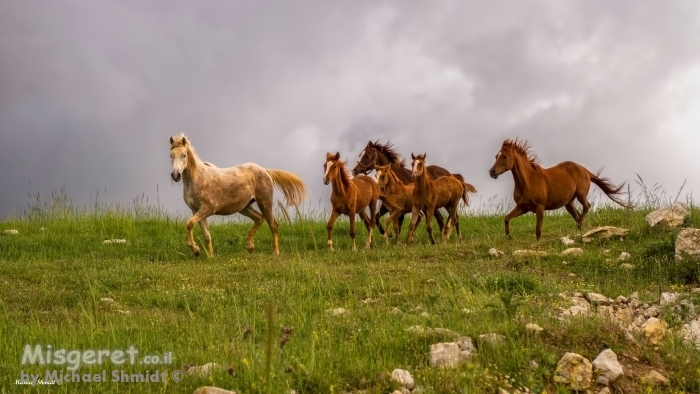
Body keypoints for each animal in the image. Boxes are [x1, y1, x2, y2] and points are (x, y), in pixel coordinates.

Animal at [170, 134, 306, 258]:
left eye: (184, 155)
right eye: (171, 155)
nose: (175, 175)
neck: (197, 179)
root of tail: (265, 170)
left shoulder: (207, 209)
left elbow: (189, 224)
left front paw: (196, 250)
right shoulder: (196, 210)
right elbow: (206, 234)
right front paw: (210, 256)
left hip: (265, 203)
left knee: (273, 225)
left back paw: (275, 252)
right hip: (244, 207)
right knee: (259, 218)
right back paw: (250, 246)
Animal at [490, 140, 632, 242]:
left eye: (505, 156)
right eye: (496, 156)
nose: (492, 172)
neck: (528, 181)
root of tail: (584, 170)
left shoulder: (539, 207)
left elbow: (538, 230)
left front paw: (536, 245)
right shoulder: (523, 207)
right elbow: (507, 218)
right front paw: (509, 237)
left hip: (581, 195)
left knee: (586, 207)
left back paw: (579, 227)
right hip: (569, 203)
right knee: (577, 215)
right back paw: (579, 230)